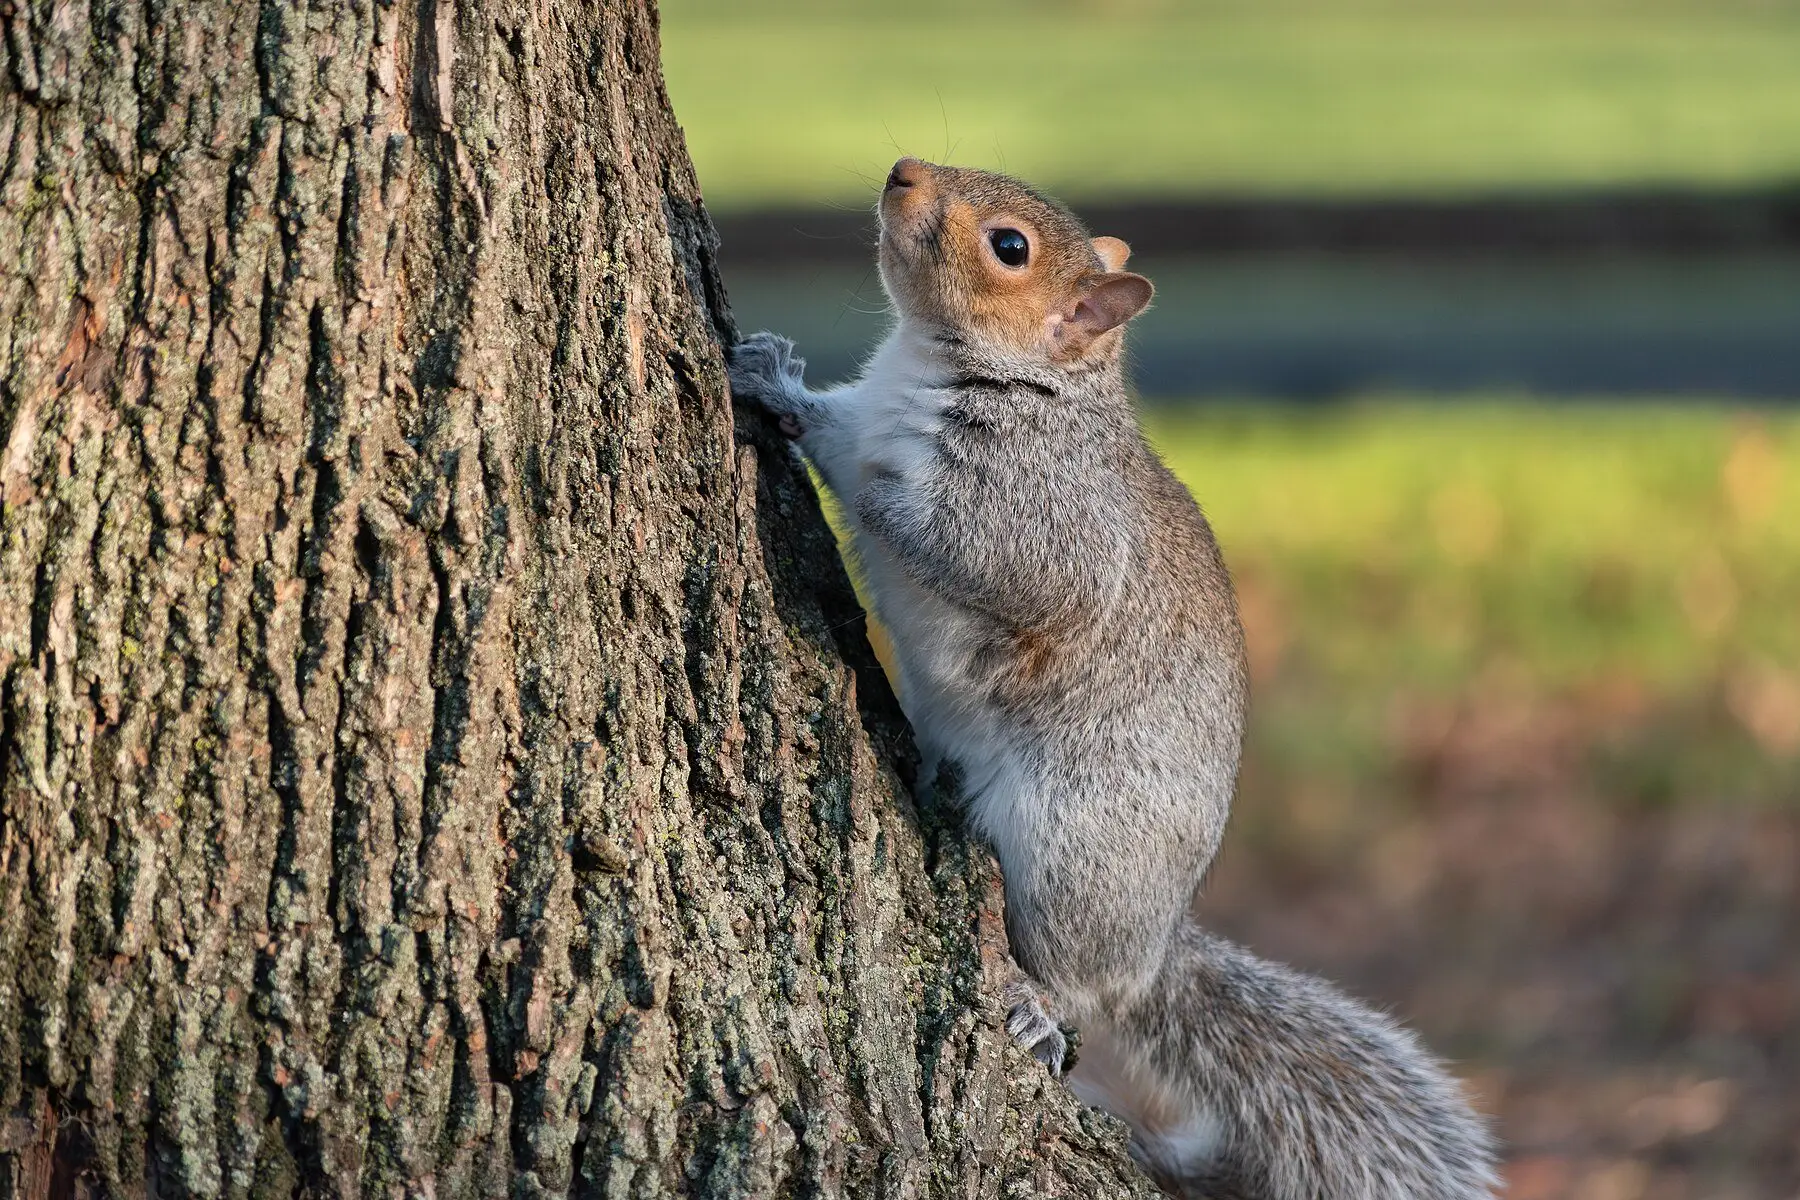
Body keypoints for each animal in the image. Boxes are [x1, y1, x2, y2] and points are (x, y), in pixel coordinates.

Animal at [728, 157, 1498, 1200]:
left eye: (1009, 246)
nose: (902, 170)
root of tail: (1153, 943)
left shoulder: (1044, 521)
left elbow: (942, 529)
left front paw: (835, 452)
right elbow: (842, 423)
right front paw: (772, 368)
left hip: (1071, 852)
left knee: (1078, 978)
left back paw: (1037, 1003)